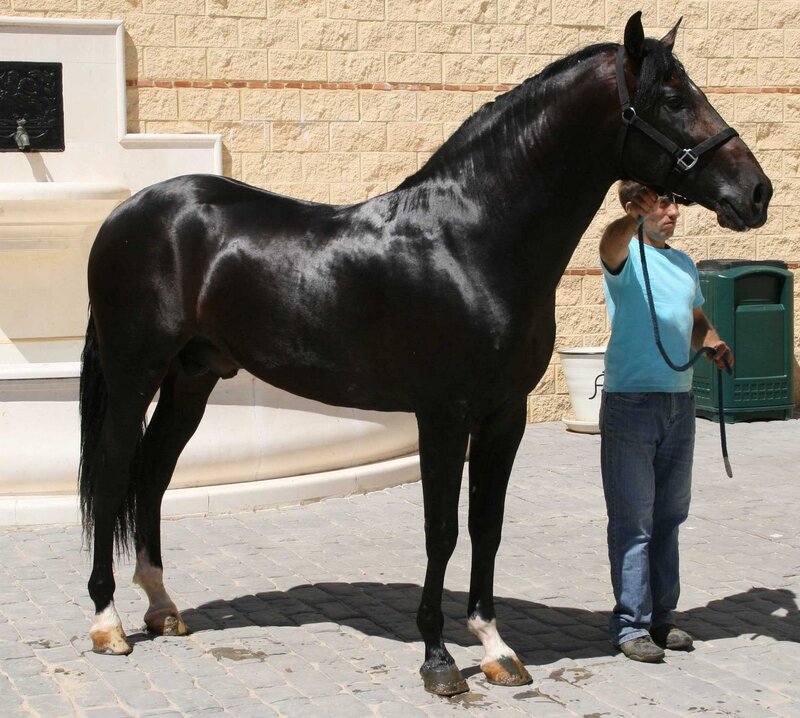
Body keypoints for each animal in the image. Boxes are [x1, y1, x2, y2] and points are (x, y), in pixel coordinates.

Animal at [79, 12, 771, 696]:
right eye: (673, 99)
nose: (757, 193)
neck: (471, 242)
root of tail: (126, 214)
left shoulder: (504, 415)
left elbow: (486, 525)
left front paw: (495, 647)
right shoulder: (443, 415)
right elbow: (441, 530)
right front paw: (438, 658)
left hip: (192, 378)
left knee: (152, 475)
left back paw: (162, 608)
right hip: (135, 373)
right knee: (113, 473)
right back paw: (108, 624)